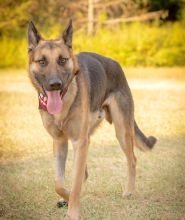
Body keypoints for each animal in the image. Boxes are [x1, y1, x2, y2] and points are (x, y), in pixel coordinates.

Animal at [27, 19, 157, 219]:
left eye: (62, 60)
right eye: (42, 61)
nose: (55, 84)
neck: (67, 97)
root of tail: (116, 64)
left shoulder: (78, 142)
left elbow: (75, 184)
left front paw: (73, 210)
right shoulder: (60, 141)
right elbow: (59, 183)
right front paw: (67, 197)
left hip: (121, 131)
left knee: (132, 160)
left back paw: (129, 191)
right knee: (84, 174)